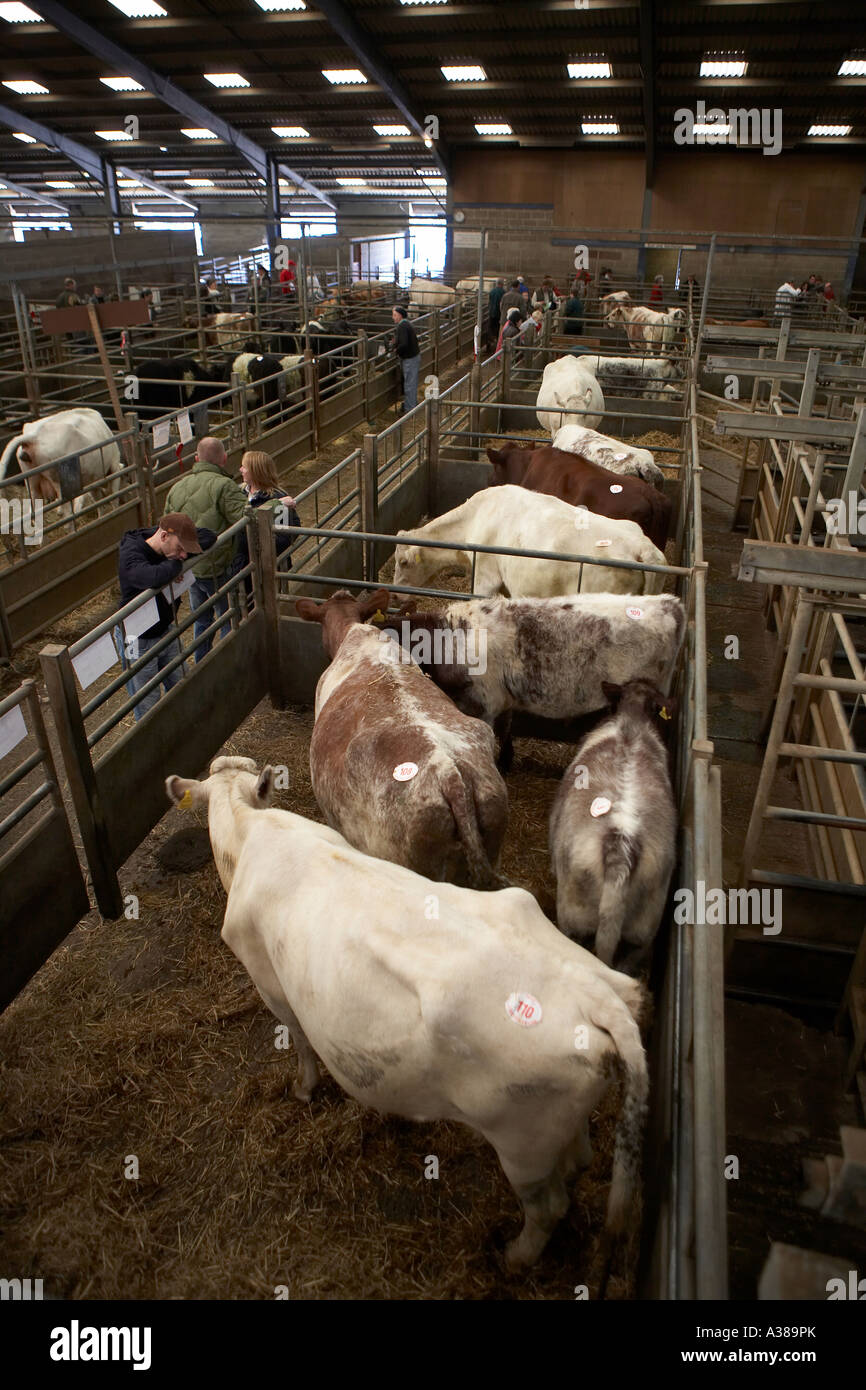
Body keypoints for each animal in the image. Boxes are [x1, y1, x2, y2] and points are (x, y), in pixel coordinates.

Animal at [166, 754, 648, 1269]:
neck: (250, 829)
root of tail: (594, 993)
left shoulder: (266, 976)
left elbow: (297, 1035)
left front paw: (303, 1088)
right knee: (578, 1158)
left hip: (522, 1142)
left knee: (548, 1206)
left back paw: (515, 1257)